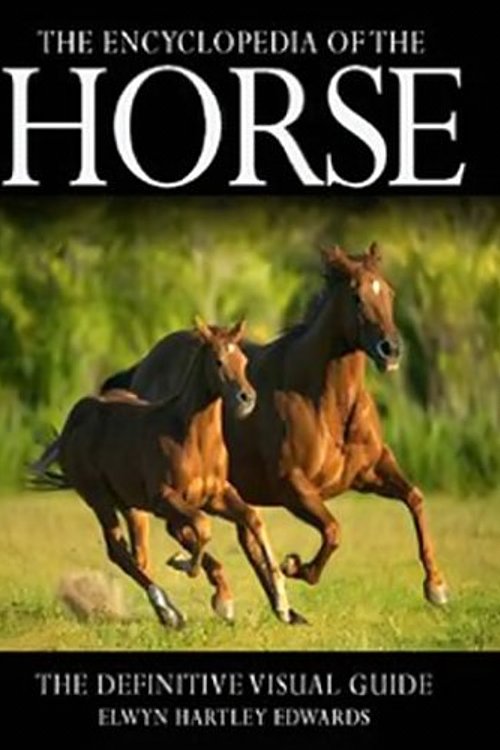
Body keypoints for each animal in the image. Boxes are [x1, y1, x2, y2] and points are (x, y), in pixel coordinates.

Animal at [52, 319, 300, 628]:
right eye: (218, 361)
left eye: (243, 360)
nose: (247, 398)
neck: (191, 440)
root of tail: (75, 417)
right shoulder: (165, 500)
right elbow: (202, 528)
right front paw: (187, 567)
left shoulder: (216, 495)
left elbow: (251, 519)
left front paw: (279, 602)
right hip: (99, 498)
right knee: (118, 551)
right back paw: (168, 608)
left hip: (130, 505)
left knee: (138, 555)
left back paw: (166, 610)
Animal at [101, 243, 449, 609]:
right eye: (356, 296)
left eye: (390, 292)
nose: (391, 349)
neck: (324, 403)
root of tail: (145, 365)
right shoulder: (293, 486)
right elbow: (333, 530)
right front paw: (296, 566)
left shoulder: (371, 471)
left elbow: (415, 498)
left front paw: (436, 586)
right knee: (175, 532)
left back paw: (272, 603)